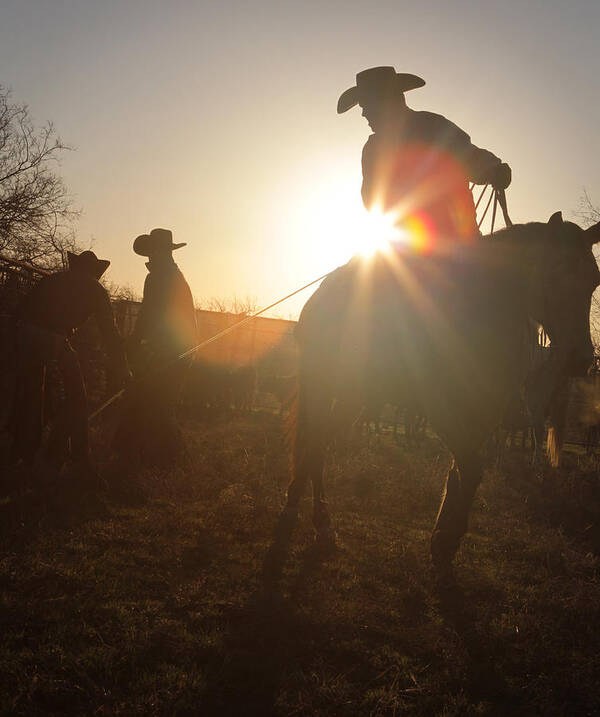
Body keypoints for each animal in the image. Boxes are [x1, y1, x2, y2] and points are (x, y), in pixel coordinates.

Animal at [268, 211, 600, 576]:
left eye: (594, 281)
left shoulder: (484, 414)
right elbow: (470, 468)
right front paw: (446, 540)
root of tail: (322, 296)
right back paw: (303, 517)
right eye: (557, 271)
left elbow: (463, 471)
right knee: (313, 445)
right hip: (322, 381)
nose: (581, 360)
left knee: (320, 443)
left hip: (354, 395)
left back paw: (318, 522)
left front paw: (444, 538)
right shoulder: (443, 410)